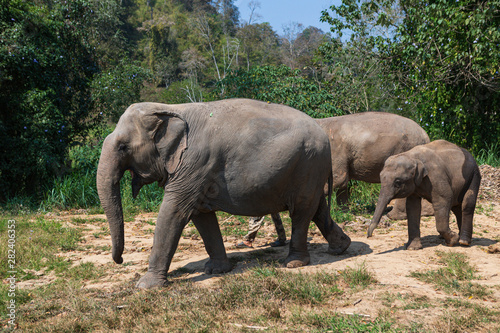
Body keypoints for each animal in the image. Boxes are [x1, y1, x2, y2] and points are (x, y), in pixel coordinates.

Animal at [95, 98, 350, 288]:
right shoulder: (195, 172)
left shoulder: (194, 163)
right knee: (317, 208)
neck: (171, 108)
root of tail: (324, 136)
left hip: (308, 163)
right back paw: (341, 248)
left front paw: (145, 286)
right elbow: (200, 215)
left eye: (123, 147)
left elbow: (174, 212)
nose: (120, 259)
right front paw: (217, 270)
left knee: (301, 211)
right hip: (310, 169)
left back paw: (294, 263)